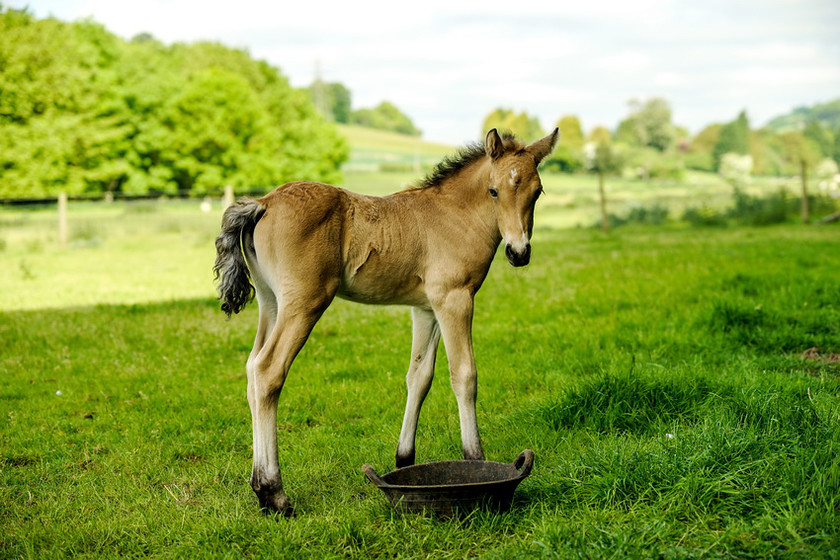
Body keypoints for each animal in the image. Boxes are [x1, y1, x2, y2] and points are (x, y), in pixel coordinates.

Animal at [215, 129, 556, 516]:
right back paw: (275, 494)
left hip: (271, 303)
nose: (519, 252)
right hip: (304, 303)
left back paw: (260, 489)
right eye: (494, 190)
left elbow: (419, 377)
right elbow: (464, 375)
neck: (455, 214)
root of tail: (264, 203)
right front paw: (476, 459)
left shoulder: (425, 309)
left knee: (251, 369)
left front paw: (404, 459)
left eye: (537, 191)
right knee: (268, 371)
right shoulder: (454, 299)